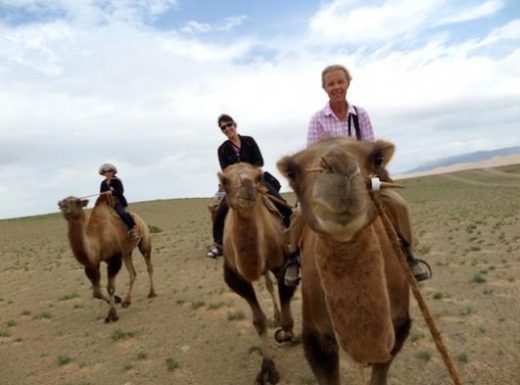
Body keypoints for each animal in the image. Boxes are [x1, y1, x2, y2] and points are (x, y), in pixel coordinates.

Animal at [58, 192, 156, 320]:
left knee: (148, 265)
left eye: (77, 202)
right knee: (132, 273)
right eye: (63, 200)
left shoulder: (114, 259)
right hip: (126, 252)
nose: (61, 204)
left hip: (144, 239)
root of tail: (139, 218)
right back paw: (126, 301)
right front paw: (117, 300)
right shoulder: (92, 264)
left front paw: (112, 315)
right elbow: (96, 293)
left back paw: (152, 293)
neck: (97, 240)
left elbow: (110, 288)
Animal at [216, 162, 296, 384]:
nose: (247, 187)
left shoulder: (283, 265)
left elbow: (287, 316)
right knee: (267, 284)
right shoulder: (235, 277)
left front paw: (286, 335)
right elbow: (259, 322)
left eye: (259, 177)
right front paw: (267, 369)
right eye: (224, 181)